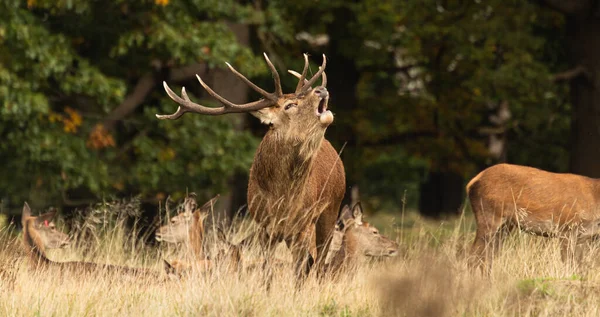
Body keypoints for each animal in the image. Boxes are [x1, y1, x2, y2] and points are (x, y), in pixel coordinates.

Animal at [157, 53, 344, 280]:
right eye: (289, 105)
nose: (321, 89)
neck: (282, 201)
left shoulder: (303, 226)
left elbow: (300, 272)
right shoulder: (264, 227)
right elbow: (267, 271)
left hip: (331, 210)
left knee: (319, 264)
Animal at [468, 163, 600, 270]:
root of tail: (471, 183)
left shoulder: (583, 238)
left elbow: (578, 266)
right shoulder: (566, 228)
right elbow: (568, 264)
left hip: (504, 226)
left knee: (487, 257)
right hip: (488, 216)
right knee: (474, 255)